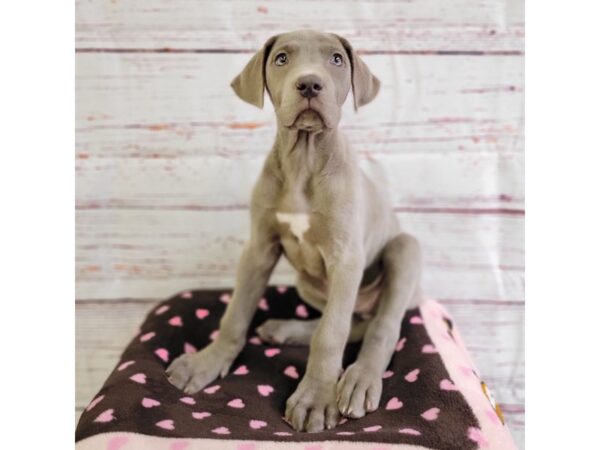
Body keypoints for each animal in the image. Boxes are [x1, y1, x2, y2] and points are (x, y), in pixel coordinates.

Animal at [166, 30, 424, 432]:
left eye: (336, 59)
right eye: (282, 59)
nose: (309, 84)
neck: (305, 159)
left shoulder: (346, 258)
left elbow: (331, 334)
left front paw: (316, 397)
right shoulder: (259, 247)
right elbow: (236, 313)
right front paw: (206, 362)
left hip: (404, 249)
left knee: (381, 326)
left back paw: (358, 380)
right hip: (307, 283)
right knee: (355, 322)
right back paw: (284, 330)